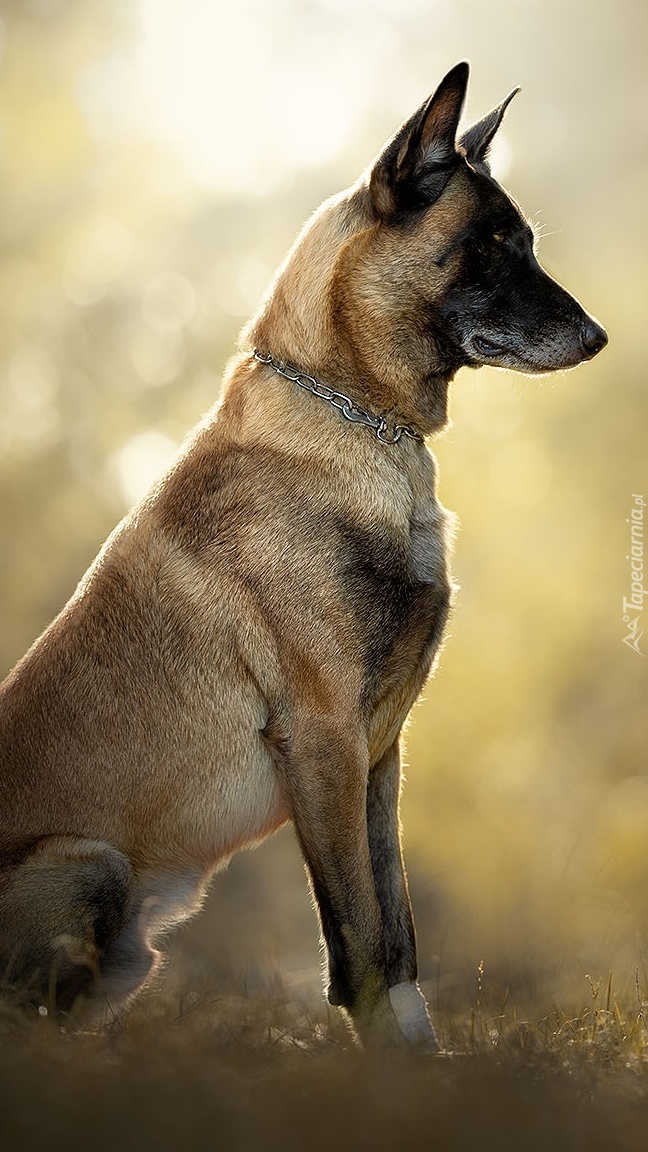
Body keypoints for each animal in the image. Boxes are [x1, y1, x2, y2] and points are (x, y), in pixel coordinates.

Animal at [0, 65, 604, 1055]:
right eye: (490, 248)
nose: (598, 338)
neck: (358, 424)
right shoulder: (323, 741)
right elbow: (354, 937)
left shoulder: (381, 754)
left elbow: (397, 932)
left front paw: (424, 1067)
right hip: (90, 866)